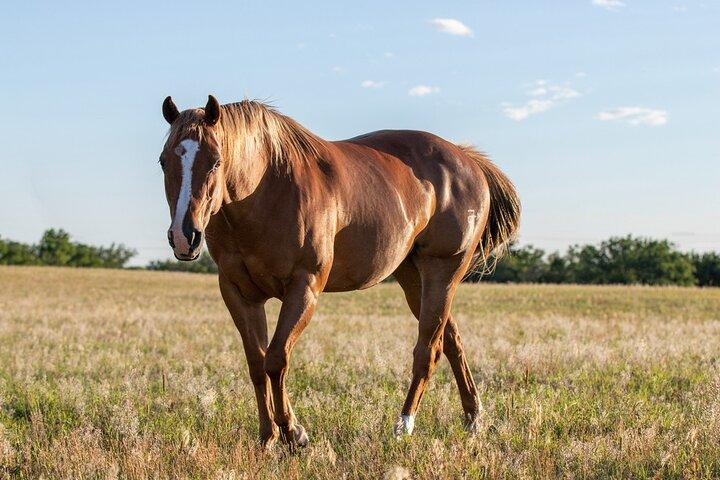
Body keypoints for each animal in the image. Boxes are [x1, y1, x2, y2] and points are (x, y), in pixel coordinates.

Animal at [158, 95, 520, 449]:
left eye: (216, 161)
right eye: (163, 161)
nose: (184, 236)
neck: (267, 188)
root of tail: (466, 160)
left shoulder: (304, 288)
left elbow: (276, 359)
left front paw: (293, 433)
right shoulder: (239, 294)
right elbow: (257, 364)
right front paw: (267, 436)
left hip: (443, 272)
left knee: (428, 350)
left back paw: (403, 425)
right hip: (412, 277)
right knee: (451, 341)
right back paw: (472, 419)